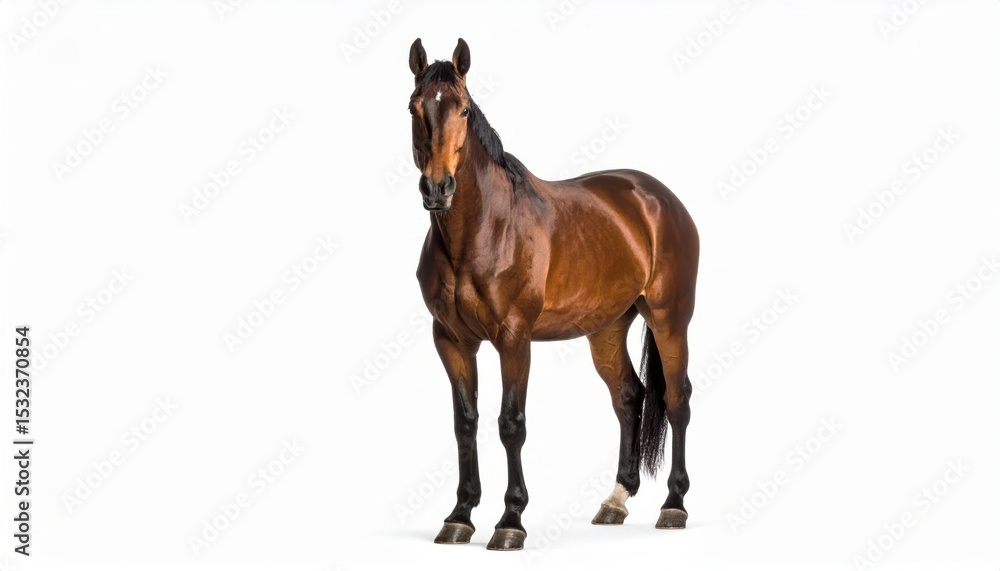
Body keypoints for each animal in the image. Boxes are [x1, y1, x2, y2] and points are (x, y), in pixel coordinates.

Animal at [407, 38, 700, 551]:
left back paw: (674, 506)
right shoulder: (451, 340)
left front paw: (510, 521)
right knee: (629, 396)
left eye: (463, 109)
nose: (438, 188)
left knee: (677, 398)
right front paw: (460, 515)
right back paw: (615, 501)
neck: (484, 230)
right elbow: (465, 423)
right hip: (607, 329)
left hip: (670, 319)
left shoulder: (514, 338)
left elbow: (511, 423)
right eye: (414, 107)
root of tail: (659, 199)